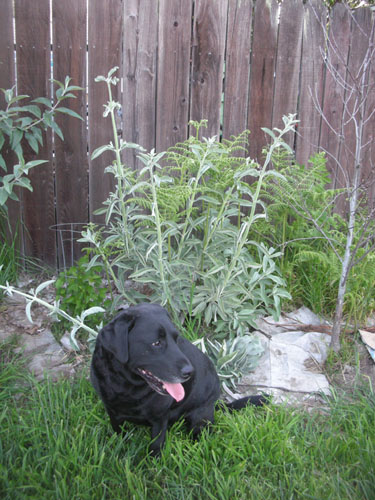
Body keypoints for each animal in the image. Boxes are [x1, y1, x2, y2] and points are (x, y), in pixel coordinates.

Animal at [91, 302, 268, 456]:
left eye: (176, 339)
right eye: (156, 343)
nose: (190, 371)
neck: (126, 386)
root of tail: (215, 403)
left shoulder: (160, 419)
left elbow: (156, 445)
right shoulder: (112, 411)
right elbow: (118, 432)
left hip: (200, 417)